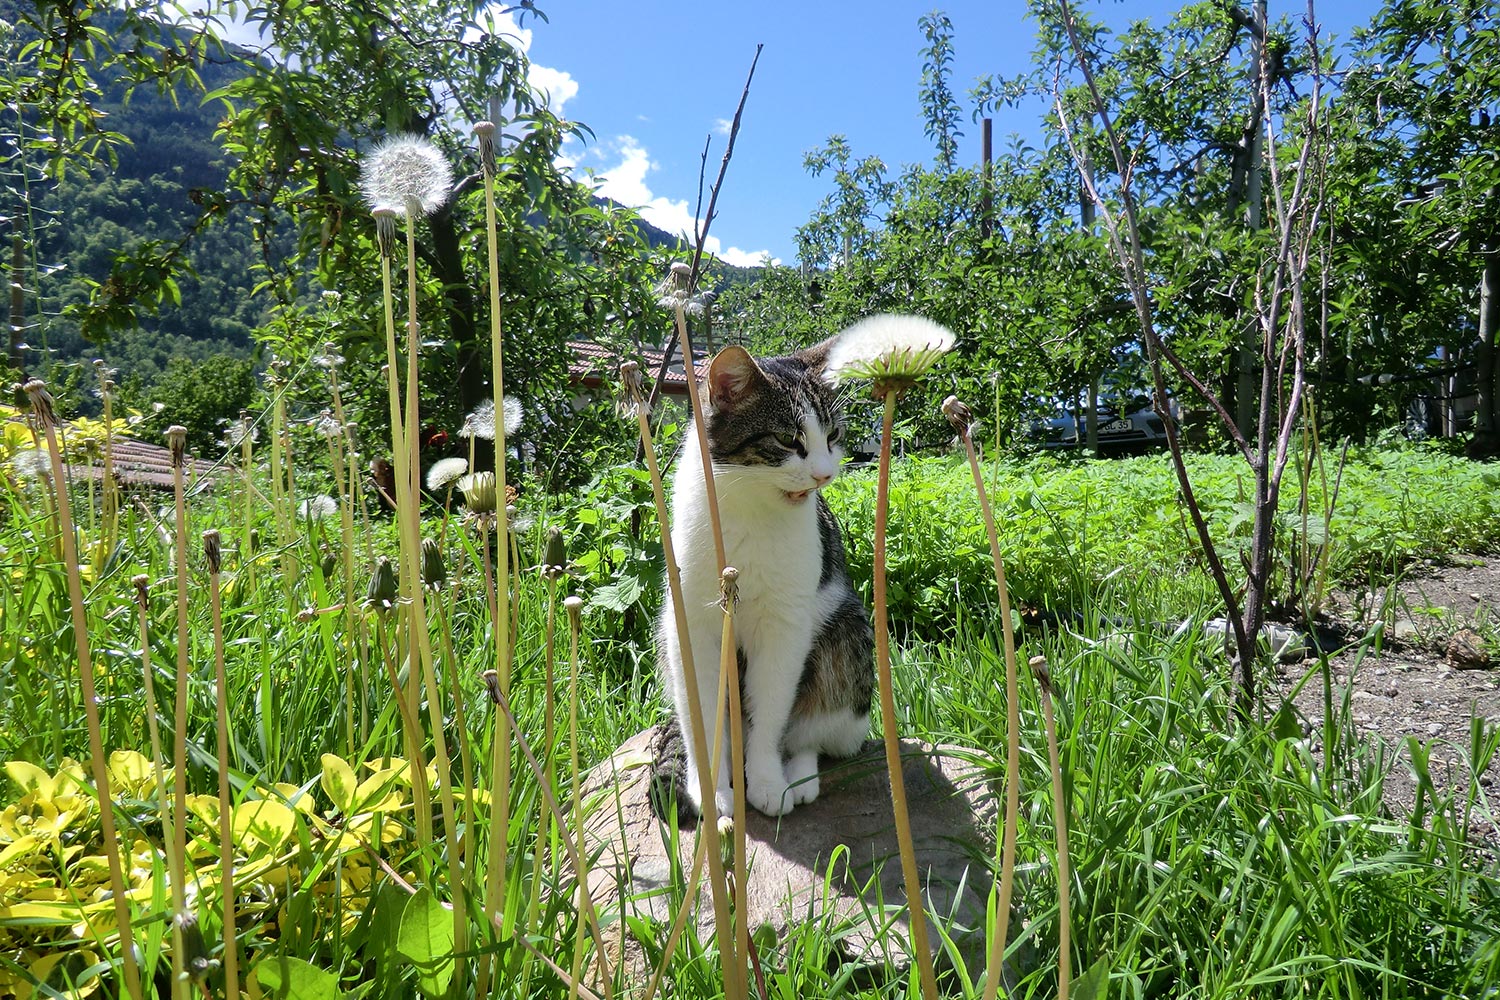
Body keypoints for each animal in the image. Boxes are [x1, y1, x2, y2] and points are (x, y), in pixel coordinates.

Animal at [660, 335, 876, 821]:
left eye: (832, 436)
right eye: (786, 439)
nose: (824, 473)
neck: (749, 510)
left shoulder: (784, 625)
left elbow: (773, 709)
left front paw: (765, 781)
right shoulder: (690, 625)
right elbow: (703, 716)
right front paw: (712, 790)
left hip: (848, 636)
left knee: (813, 733)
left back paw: (798, 776)